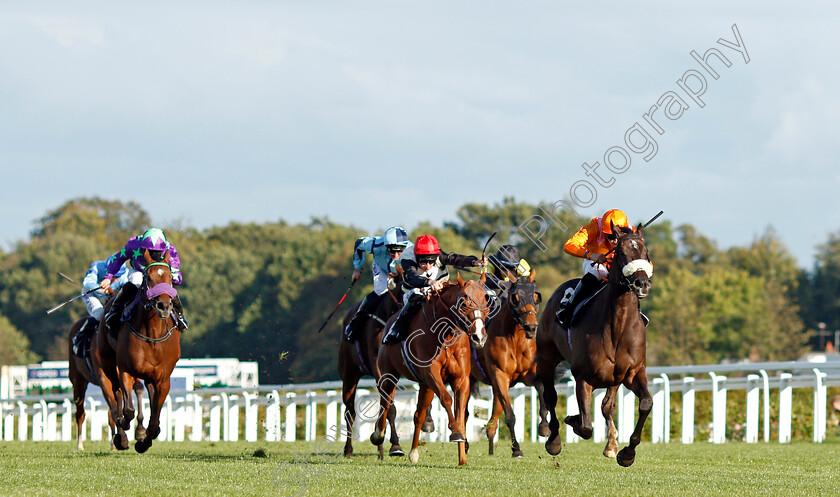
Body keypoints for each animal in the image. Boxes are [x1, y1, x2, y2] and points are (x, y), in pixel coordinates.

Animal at [91, 252, 181, 454]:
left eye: (170, 278)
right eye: (148, 277)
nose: (164, 305)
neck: (153, 335)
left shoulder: (163, 379)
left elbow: (155, 422)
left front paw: (143, 441)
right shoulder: (126, 370)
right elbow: (127, 410)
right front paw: (125, 426)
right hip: (107, 366)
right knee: (115, 397)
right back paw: (121, 438)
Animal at [370, 274, 488, 466]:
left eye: (486, 299)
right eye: (463, 302)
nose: (479, 336)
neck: (446, 336)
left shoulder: (461, 379)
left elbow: (460, 412)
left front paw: (462, 457)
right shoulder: (431, 373)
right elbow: (447, 399)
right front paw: (455, 432)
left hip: (425, 386)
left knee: (419, 414)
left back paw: (413, 452)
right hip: (389, 374)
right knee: (385, 403)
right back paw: (378, 435)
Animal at [470, 270, 548, 456]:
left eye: (536, 296)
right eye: (515, 298)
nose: (531, 327)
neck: (515, 340)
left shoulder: (529, 374)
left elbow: (542, 391)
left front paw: (544, 427)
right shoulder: (499, 375)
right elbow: (510, 416)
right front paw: (517, 449)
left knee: (492, 421)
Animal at [540, 225, 656, 464]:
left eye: (646, 251)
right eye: (621, 253)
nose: (642, 283)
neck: (618, 326)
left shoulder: (633, 372)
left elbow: (645, 403)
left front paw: (627, 453)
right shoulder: (583, 376)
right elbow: (585, 426)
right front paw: (572, 419)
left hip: (615, 378)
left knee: (606, 406)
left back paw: (611, 444)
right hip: (547, 358)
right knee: (550, 397)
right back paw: (553, 441)